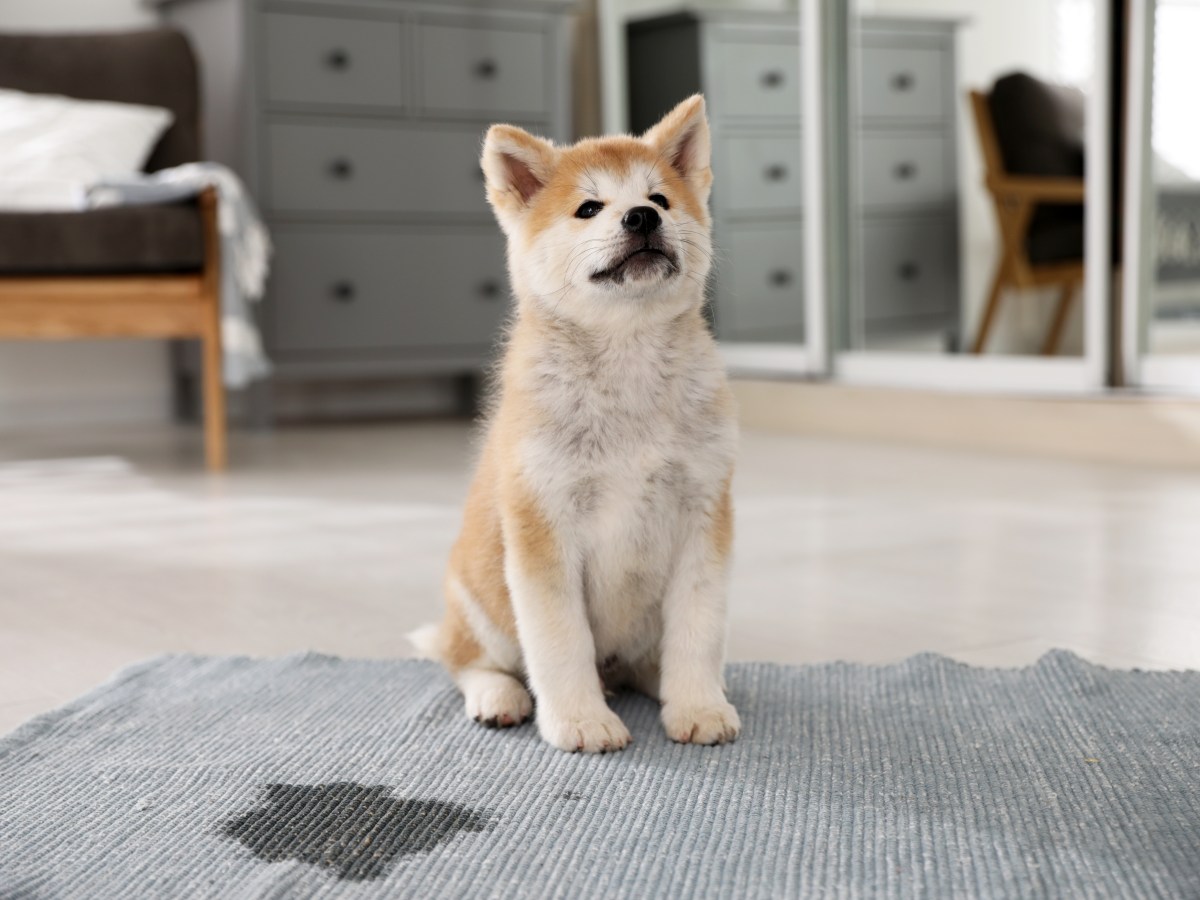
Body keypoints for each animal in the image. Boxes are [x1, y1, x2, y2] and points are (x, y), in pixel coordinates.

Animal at [412, 93, 734, 753]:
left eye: (660, 198)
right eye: (589, 208)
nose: (641, 218)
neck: (627, 370)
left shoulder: (703, 515)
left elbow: (698, 630)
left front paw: (698, 706)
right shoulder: (544, 526)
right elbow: (561, 644)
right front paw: (581, 722)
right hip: (479, 600)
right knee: (467, 661)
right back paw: (498, 696)